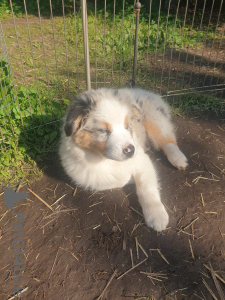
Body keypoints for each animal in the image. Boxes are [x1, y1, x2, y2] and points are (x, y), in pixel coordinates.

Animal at [59, 88, 187, 232]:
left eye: (127, 126)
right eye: (103, 130)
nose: (131, 150)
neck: (104, 160)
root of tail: (144, 91)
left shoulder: (142, 160)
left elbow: (146, 188)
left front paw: (157, 216)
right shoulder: (91, 177)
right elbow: (118, 180)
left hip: (154, 119)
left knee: (167, 139)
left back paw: (178, 159)